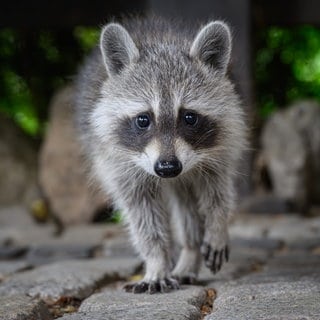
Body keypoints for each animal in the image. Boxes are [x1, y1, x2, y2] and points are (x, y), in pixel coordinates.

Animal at [74, 16, 245, 292]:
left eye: (189, 117)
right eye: (143, 120)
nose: (167, 168)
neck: (162, 44)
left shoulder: (222, 144)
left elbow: (218, 190)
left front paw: (217, 224)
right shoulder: (117, 161)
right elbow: (142, 215)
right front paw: (156, 262)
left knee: (188, 203)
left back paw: (190, 250)